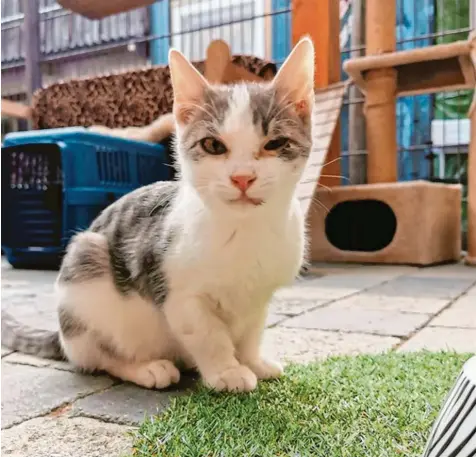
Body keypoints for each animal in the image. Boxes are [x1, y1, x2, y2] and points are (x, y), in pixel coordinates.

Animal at [3, 36, 318, 392]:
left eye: (275, 143)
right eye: (213, 145)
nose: (242, 177)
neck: (245, 230)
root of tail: (61, 335)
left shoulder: (259, 297)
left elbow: (251, 332)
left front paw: (252, 360)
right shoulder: (178, 294)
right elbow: (207, 333)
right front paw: (226, 370)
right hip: (86, 270)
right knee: (96, 357)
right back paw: (147, 368)